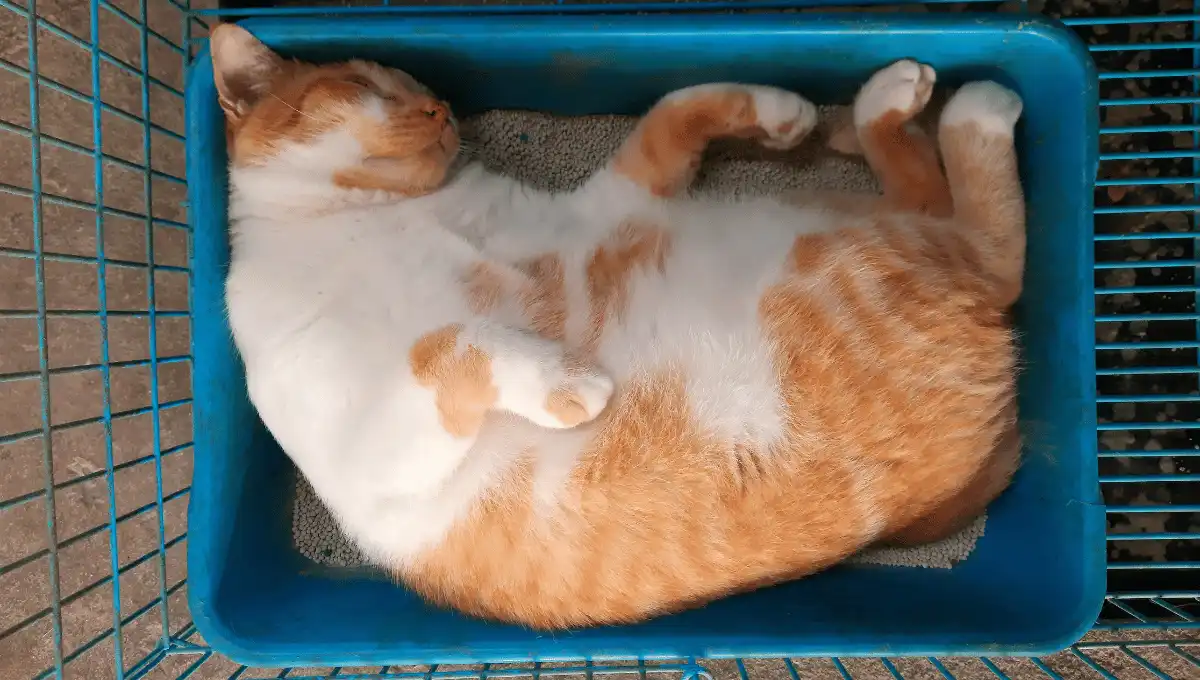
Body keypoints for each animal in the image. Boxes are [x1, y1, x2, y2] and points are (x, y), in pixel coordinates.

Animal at [213, 22, 1022, 628]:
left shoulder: (601, 209)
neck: (372, 215)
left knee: (968, 224)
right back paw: (962, 106)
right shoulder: (375, 450)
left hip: (855, 236)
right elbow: (445, 344)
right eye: (371, 89)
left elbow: (676, 109)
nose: (442, 108)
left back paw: (912, 99)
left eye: (421, 89)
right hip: (868, 252)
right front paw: (565, 381)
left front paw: (776, 110)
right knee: (985, 239)